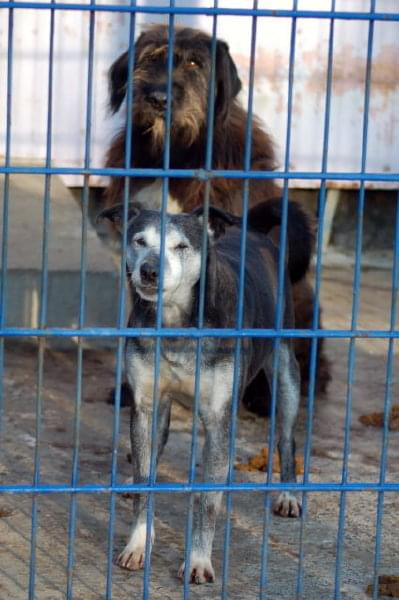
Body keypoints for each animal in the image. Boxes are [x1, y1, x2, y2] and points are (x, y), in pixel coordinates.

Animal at [100, 199, 312, 584]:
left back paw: (288, 493)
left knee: (286, 437)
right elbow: (146, 480)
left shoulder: (218, 421)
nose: (149, 272)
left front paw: (198, 560)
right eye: (139, 241)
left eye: (181, 246)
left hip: (286, 370)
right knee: (153, 453)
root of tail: (254, 231)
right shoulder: (146, 405)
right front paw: (138, 544)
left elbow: (208, 500)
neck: (177, 325)